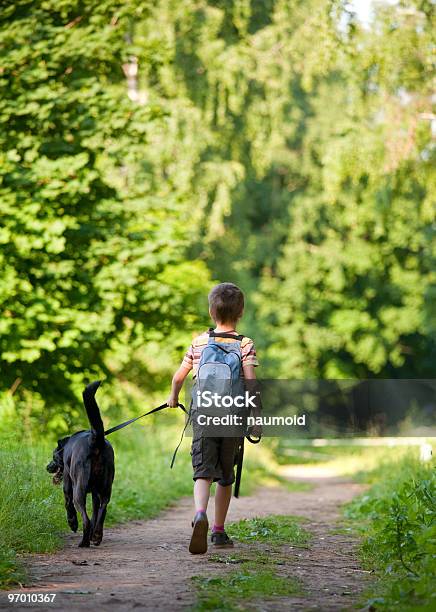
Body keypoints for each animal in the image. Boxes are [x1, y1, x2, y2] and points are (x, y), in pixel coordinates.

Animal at [46, 380, 115, 548]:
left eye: (54, 456)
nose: (48, 467)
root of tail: (95, 440)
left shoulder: (67, 484)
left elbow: (67, 504)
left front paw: (72, 523)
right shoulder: (96, 494)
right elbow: (96, 512)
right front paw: (93, 536)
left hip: (79, 487)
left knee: (85, 518)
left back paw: (84, 541)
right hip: (105, 488)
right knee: (102, 511)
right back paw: (96, 536)